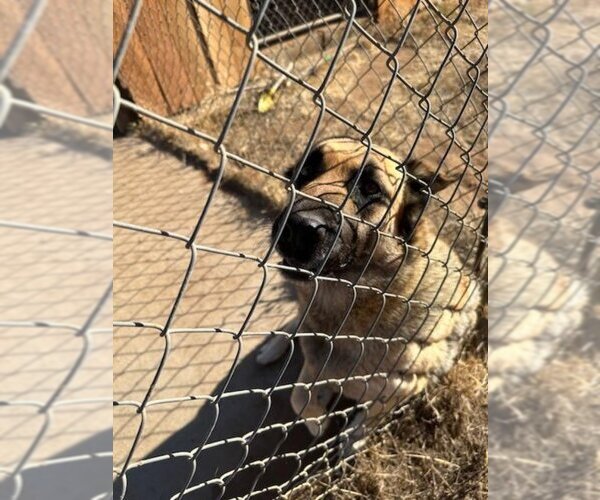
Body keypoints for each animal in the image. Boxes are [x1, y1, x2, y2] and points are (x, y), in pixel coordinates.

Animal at [255, 136, 480, 442]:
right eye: (306, 170)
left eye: (371, 188)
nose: (296, 228)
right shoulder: (316, 365)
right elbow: (299, 397)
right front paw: (319, 421)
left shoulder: (402, 388)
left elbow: (365, 422)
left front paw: (348, 436)